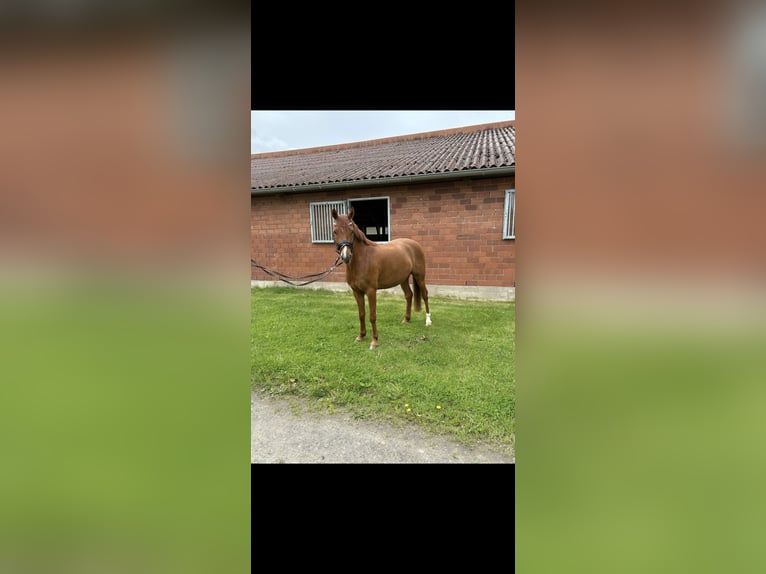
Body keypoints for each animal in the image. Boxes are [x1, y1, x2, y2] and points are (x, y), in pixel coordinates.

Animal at [332, 207, 431, 350]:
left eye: (351, 231)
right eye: (335, 232)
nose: (346, 256)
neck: (363, 259)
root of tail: (414, 244)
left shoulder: (371, 291)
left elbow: (372, 316)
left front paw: (374, 341)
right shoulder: (357, 292)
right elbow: (361, 314)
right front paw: (361, 336)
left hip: (419, 276)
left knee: (425, 295)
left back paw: (428, 320)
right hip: (403, 279)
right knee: (409, 295)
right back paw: (406, 319)